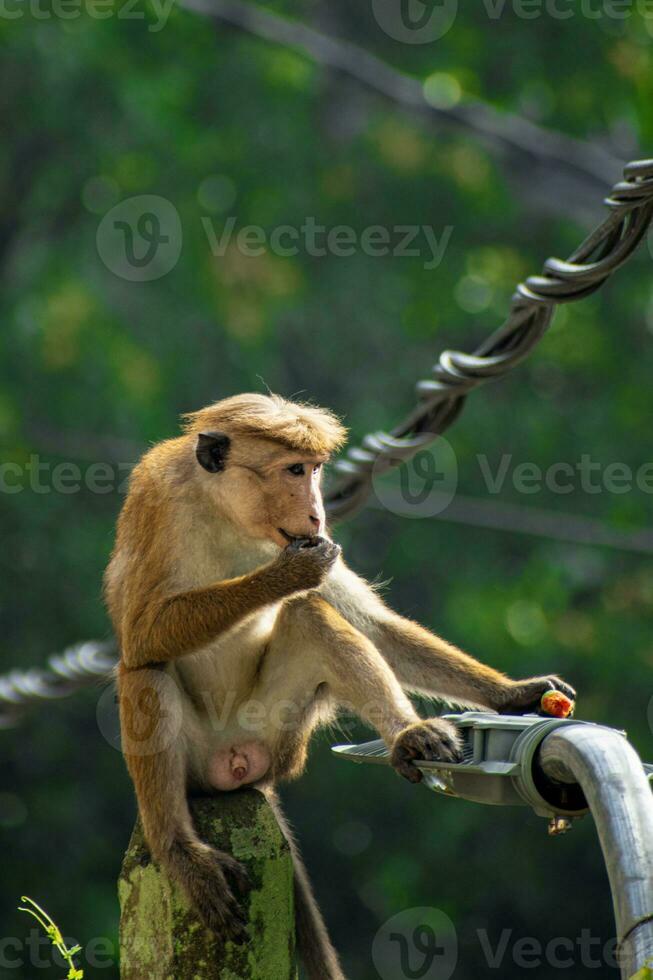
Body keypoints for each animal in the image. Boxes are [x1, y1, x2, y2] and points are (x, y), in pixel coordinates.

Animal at [103, 390, 576, 980]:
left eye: (314, 470)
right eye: (293, 470)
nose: (316, 509)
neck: (226, 511)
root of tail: (233, 764)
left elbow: (371, 626)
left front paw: (514, 694)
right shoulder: (158, 499)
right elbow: (142, 633)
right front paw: (282, 577)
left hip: (279, 733)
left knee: (313, 619)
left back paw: (410, 736)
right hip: (201, 754)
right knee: (147, 670)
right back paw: (178, 850)